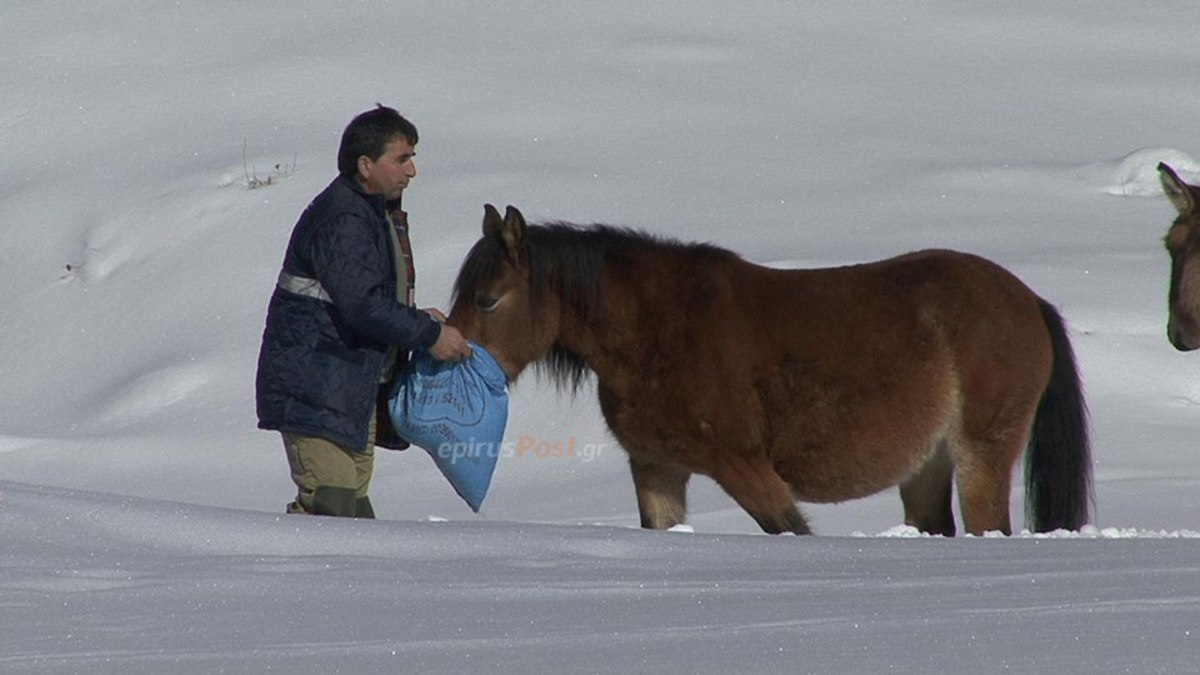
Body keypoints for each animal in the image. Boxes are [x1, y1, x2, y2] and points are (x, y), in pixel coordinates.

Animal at [446, 201, 1094, 533]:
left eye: (488, 300)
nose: (446, 352)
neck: (662, 330)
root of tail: (1028, 301)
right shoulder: (657, 469)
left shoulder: (745, 466)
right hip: (927, 467)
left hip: (981, 454)